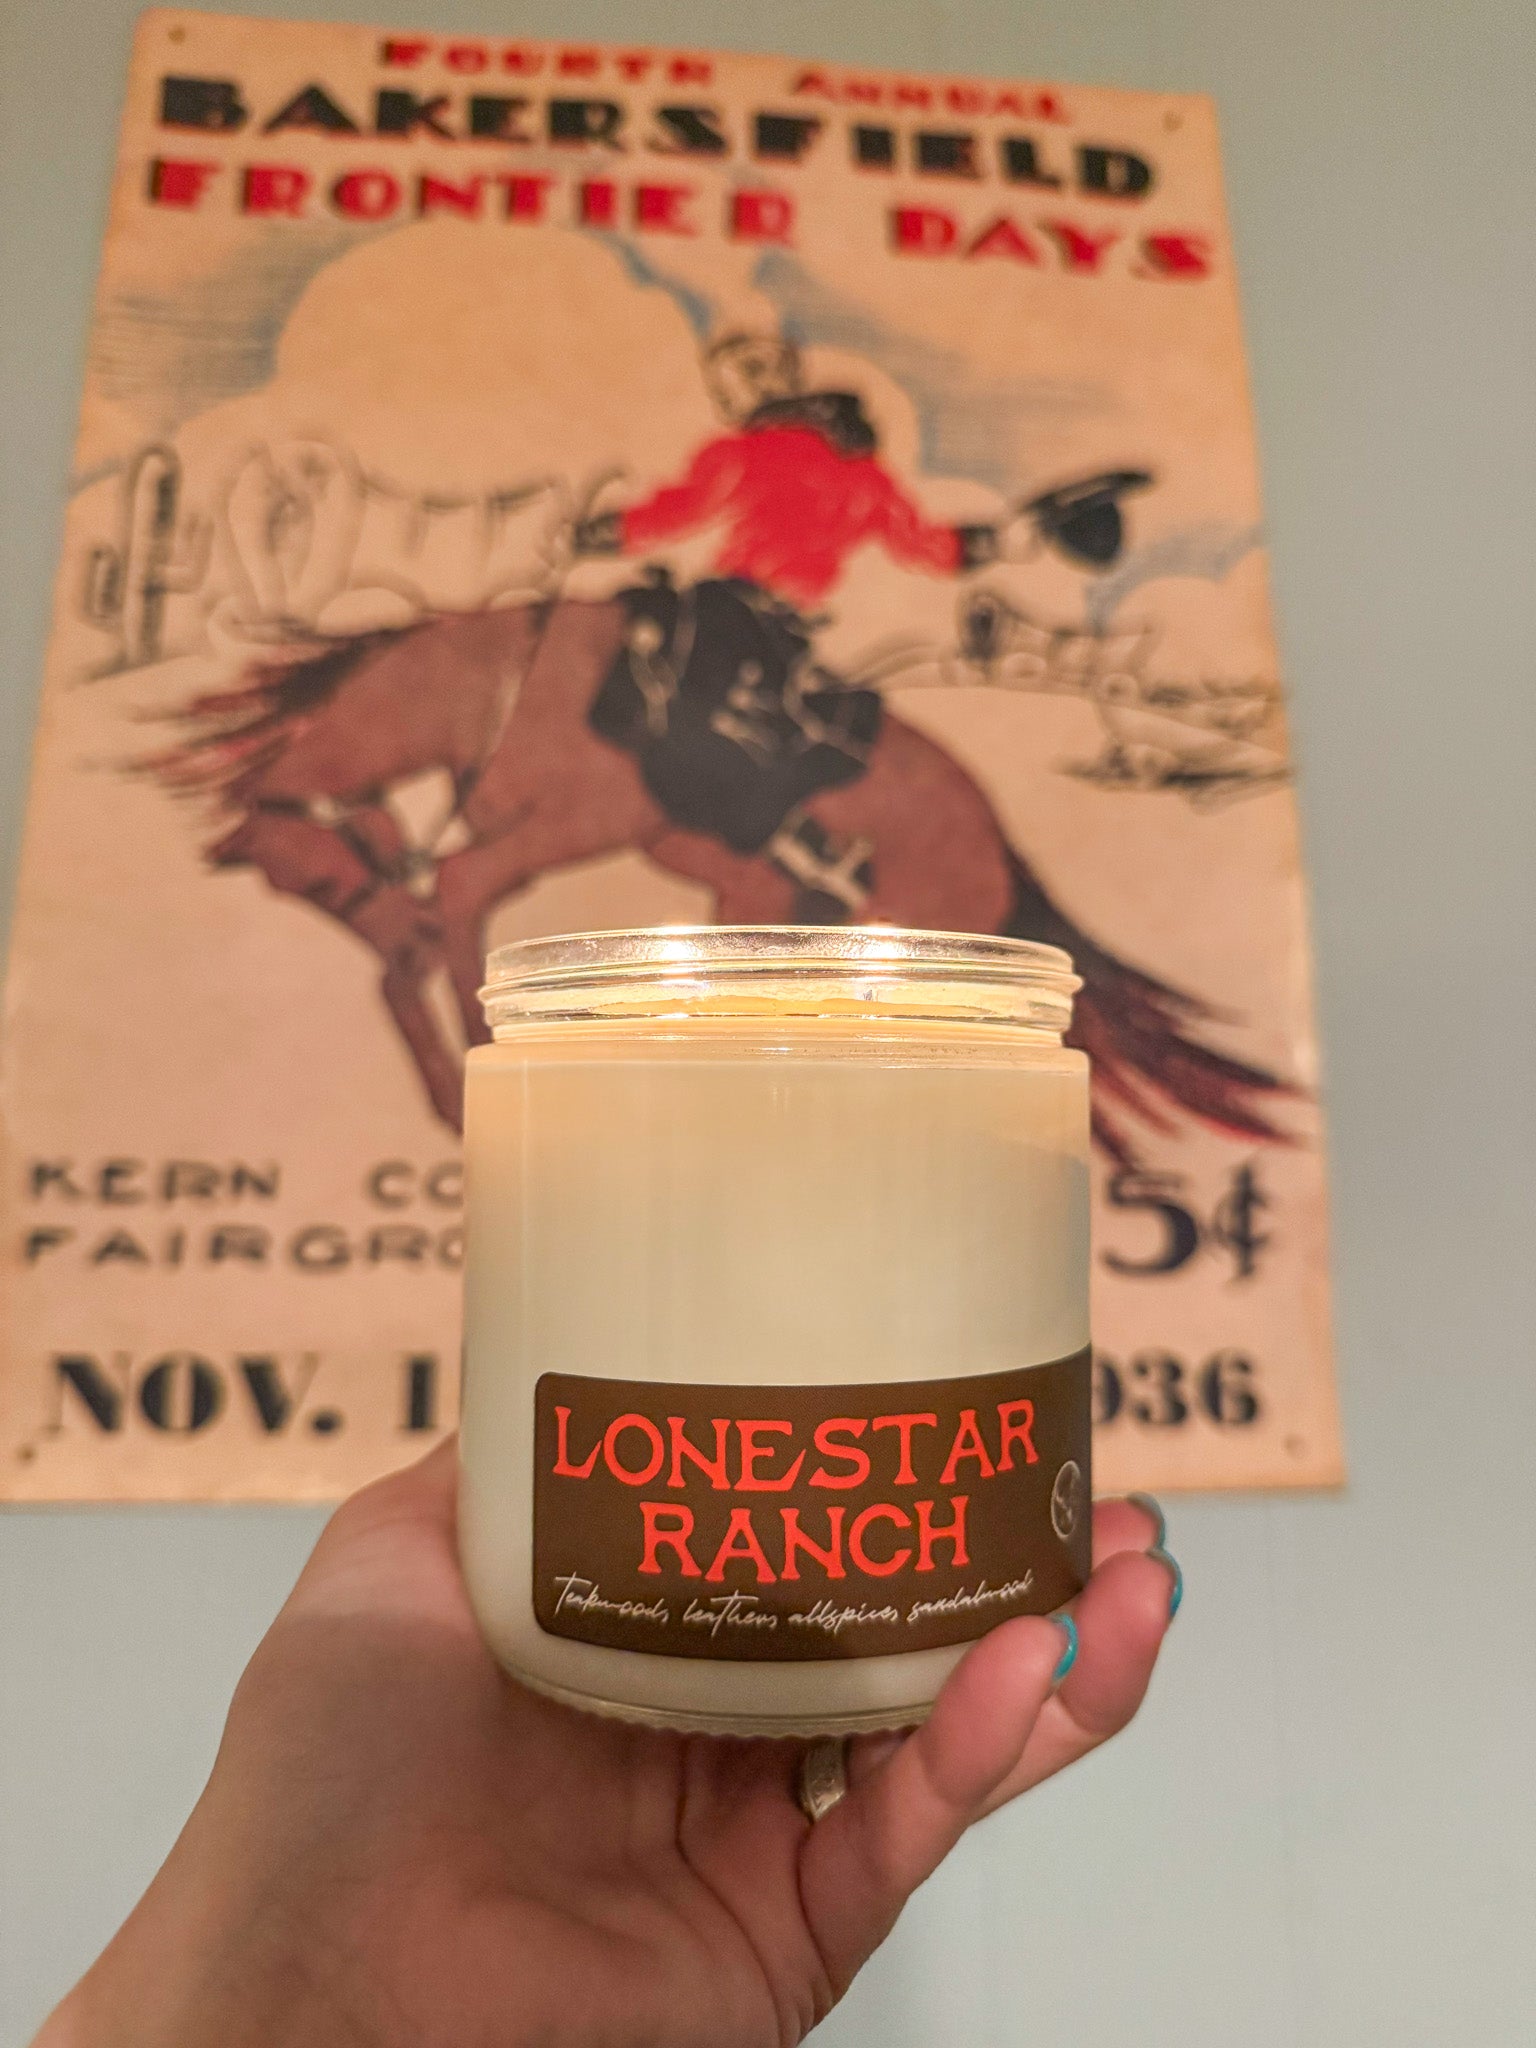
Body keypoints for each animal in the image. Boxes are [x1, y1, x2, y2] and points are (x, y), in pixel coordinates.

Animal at [143, 595, 1293, 1163]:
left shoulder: (560, 823)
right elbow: (462, 907)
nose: (388, 938)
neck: (505, 686)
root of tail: (998, 851)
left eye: (315, 883)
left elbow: (462, 893)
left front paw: (449, 1060)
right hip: (761, 904)